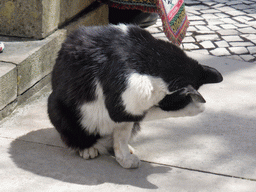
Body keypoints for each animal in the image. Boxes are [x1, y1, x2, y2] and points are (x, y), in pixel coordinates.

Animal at [47, 23, 223, 168]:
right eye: (177, 104)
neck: (150, 58)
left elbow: (123, 133)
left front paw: (124, 157)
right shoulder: (122, 103)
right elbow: (142, 113)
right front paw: (196, 107)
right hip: (56, 107)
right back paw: (87, 148)